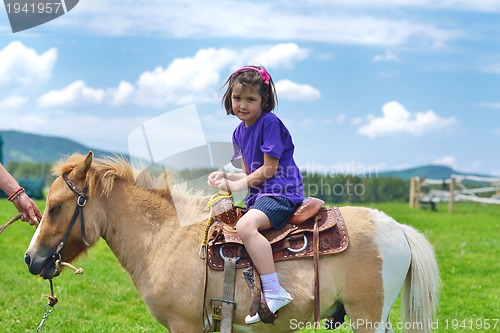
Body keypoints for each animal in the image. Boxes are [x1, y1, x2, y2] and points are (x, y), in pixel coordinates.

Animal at [24, 152, 438, 330]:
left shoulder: (186, 326)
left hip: (366, 317)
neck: (164, 238)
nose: (31, 259)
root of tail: (398, 229)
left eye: (56, 207)